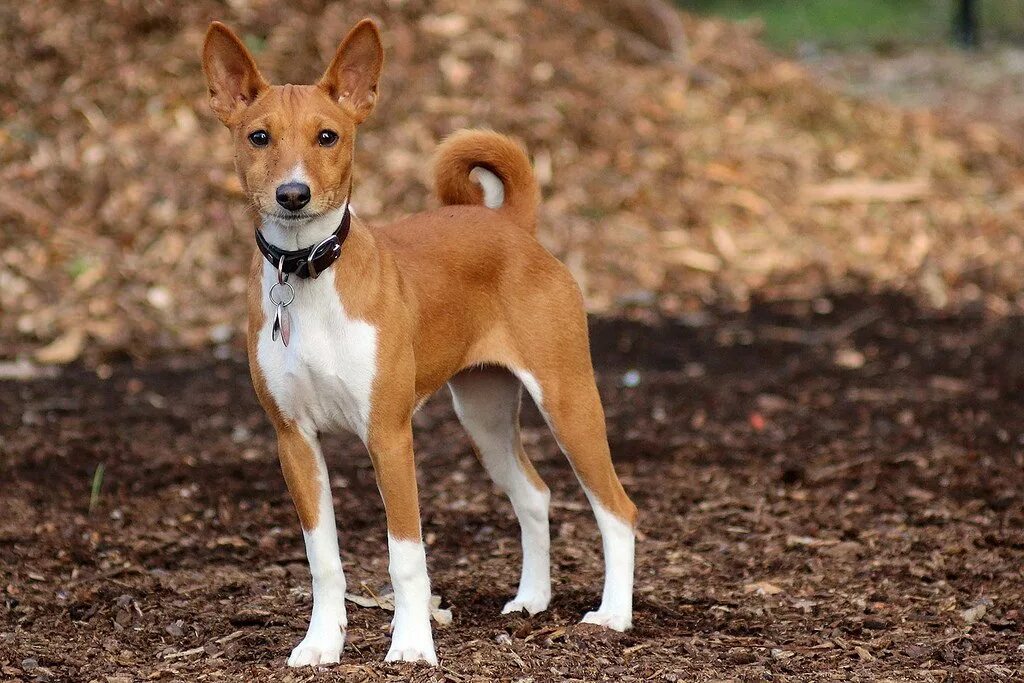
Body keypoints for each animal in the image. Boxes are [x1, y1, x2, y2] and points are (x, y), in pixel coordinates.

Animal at [200, 17, 634, 667]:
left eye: (327, 136)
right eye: (258, 137)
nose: (293, 194)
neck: (308, 275)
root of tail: (510, 224)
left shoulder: (388, 434)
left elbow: (405, 556)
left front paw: (410, 645)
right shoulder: (294, 440)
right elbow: (324, 561)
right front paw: (321, 644)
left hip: (568, 401)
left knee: (616, 508)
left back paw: (613, 616)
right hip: (484, 415)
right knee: (534, 495)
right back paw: (532, 599)